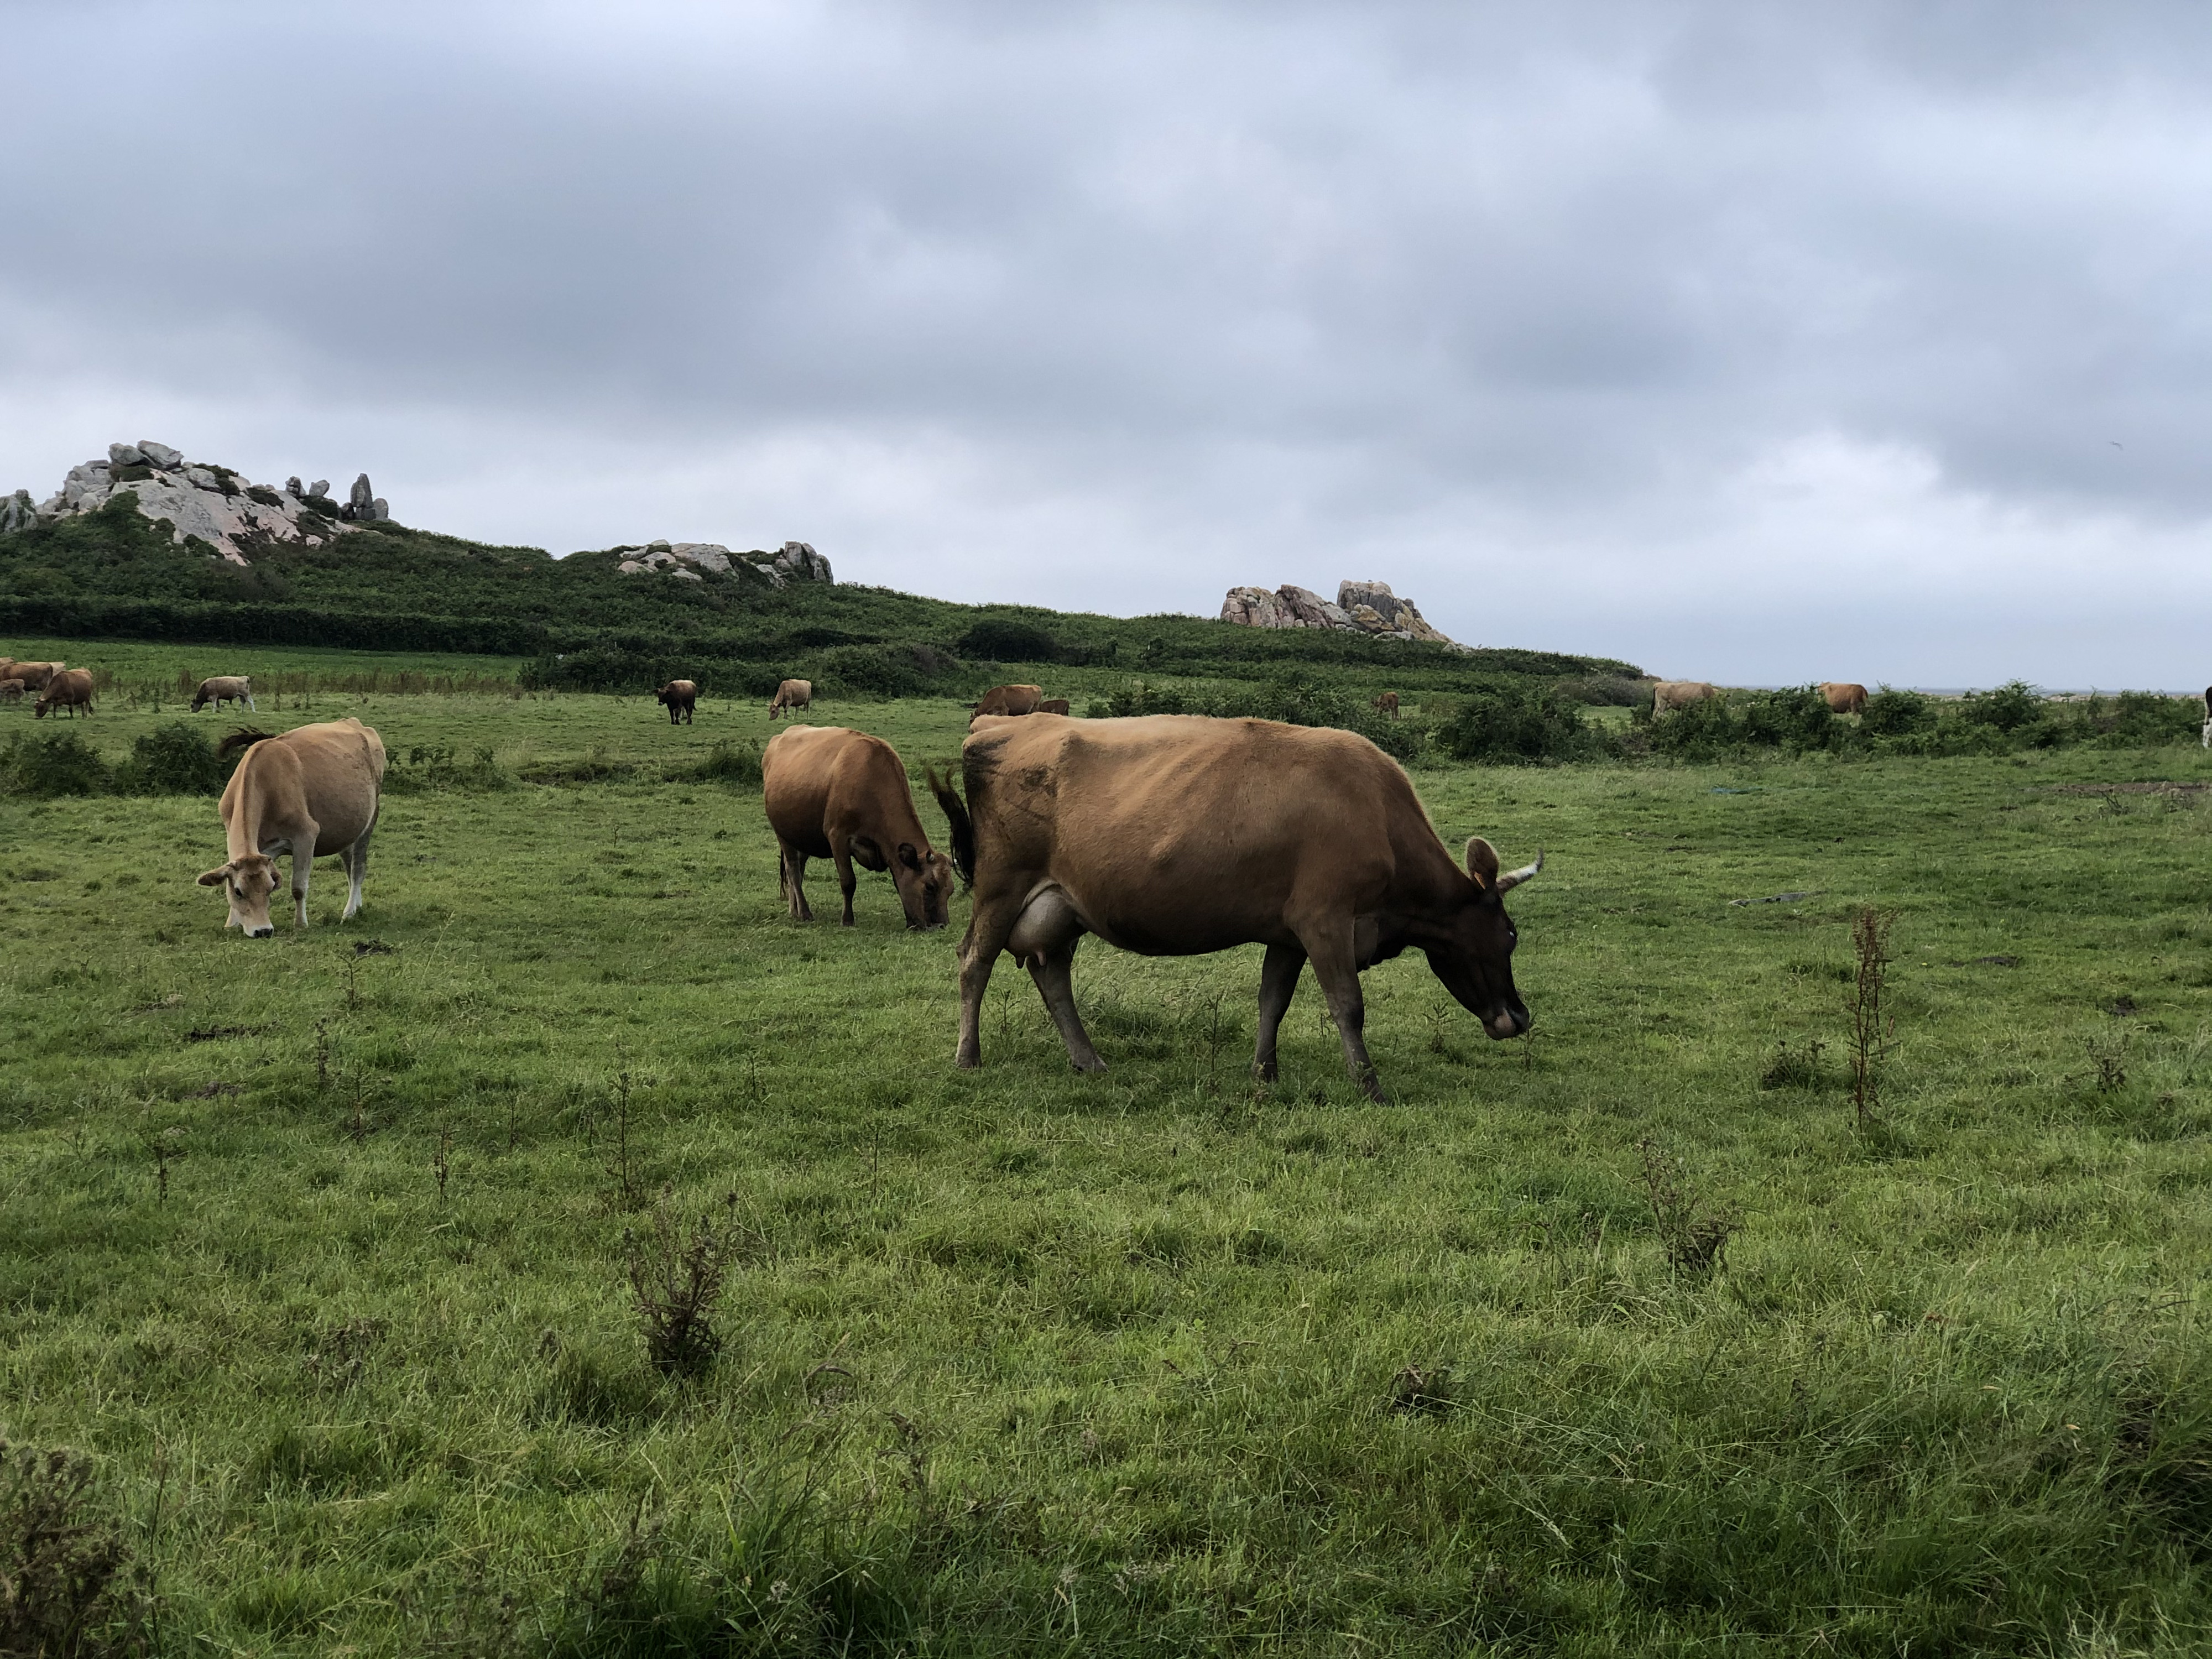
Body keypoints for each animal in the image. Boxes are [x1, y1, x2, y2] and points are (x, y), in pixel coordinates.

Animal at [197, 721, 387, 942]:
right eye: (238, 892)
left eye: (270, 888)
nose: (263, 931)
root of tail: (353, 722)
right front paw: (231, 924)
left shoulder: (306, 836)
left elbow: (298, 887)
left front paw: (301, 924)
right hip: (347, 831)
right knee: (349, 866)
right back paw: (357, 905)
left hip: (370, 820)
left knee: (358, 869)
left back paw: (348, 912)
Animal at [765, 730, 956, 938]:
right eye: (930, 886)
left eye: (951, 890)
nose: (941, 926)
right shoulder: (838, 837)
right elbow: (848, 881)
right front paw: (847, 920)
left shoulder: (888, 851)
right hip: (782, 833)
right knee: (793, 870)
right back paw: (806, 913)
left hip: (802, 837)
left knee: (799, 869)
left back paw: (795, 910)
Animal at [929, 717, 1540, 1106]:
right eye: (1508, 936)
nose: (1519, 1016)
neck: (1376, 814)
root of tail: (997, 727)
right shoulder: (1325, 919)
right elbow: (1348, 1006)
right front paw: (1370, 1086)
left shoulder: (1288, 933)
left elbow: (1273, 1002)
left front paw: (1264, 1073)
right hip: (1002, 888)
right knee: (974, 961)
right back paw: (968, 1056)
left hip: (1063, 905)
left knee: (1051, 973)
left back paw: (1089, 1059)